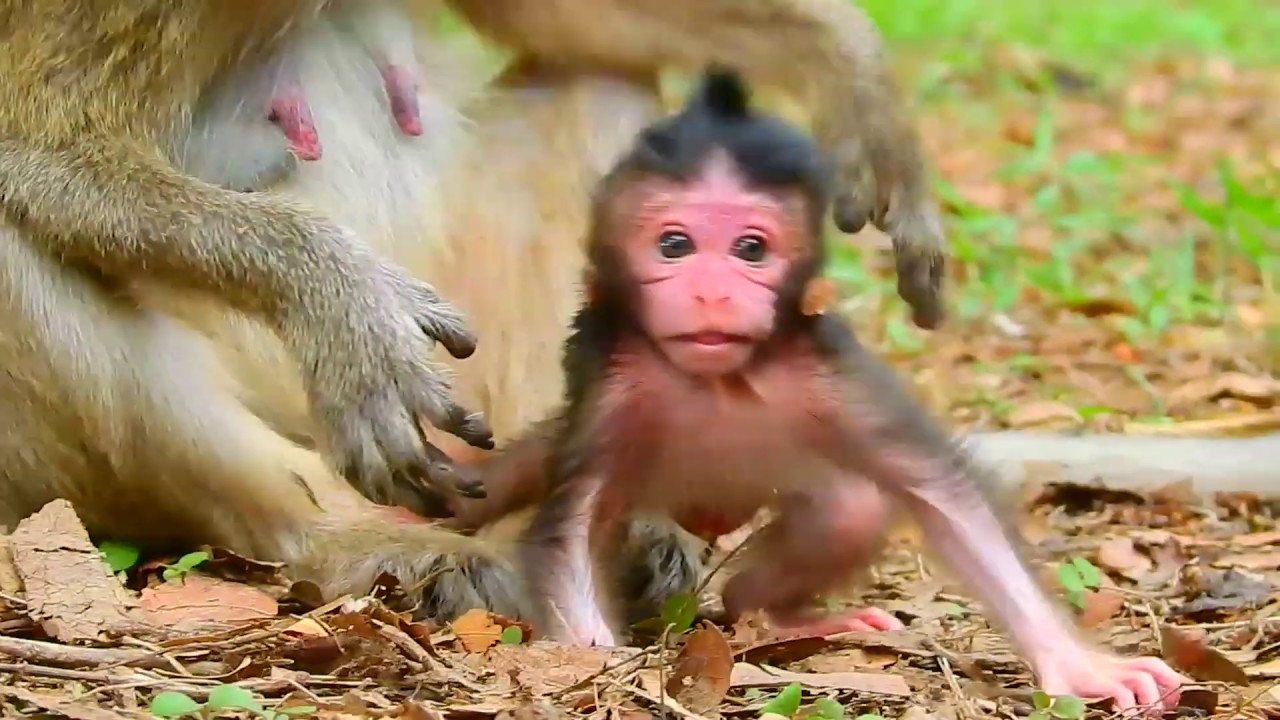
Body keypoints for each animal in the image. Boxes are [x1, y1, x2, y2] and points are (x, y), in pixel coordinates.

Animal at [477, 68, 1186, 714]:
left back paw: (776, 616)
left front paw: (1081, 665)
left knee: (852, 507)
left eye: (750, 249)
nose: (712, 293)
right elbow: (570, 528)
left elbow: (945, 496)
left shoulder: (832, 373)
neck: (719, 380)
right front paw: (594, 665)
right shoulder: (611, 384)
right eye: (674, 244)